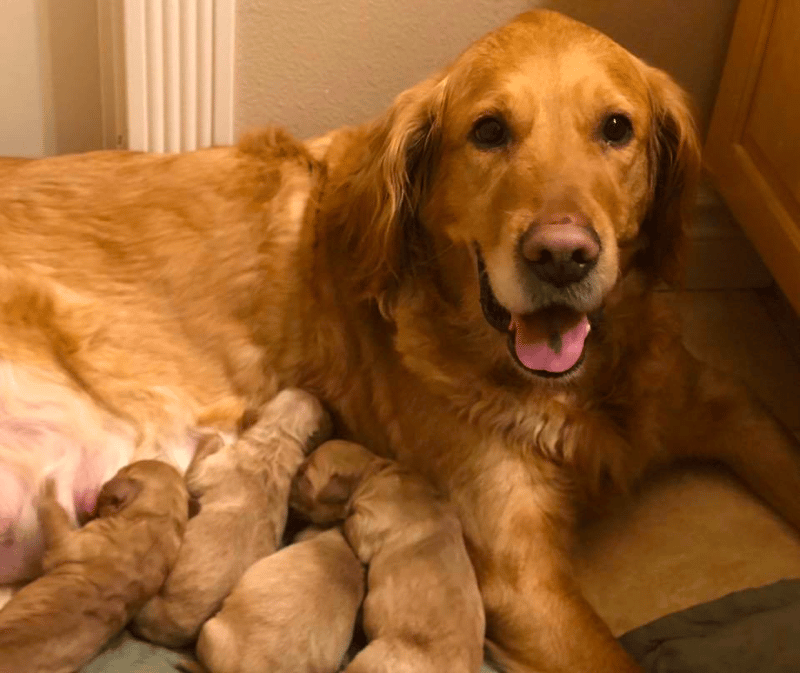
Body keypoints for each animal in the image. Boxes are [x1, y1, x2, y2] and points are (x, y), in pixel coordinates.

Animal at [0, 460, 190, 672]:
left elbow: (53, 509)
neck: (157, 521)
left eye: (120, 471)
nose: (97, 490)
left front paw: (50, 483)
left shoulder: (64, 543)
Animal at [290, 440, 484, 672]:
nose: (288, 494)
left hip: (373, 657)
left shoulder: (364, 526)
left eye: (305, 478)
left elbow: (346, 520)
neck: (371, 471)